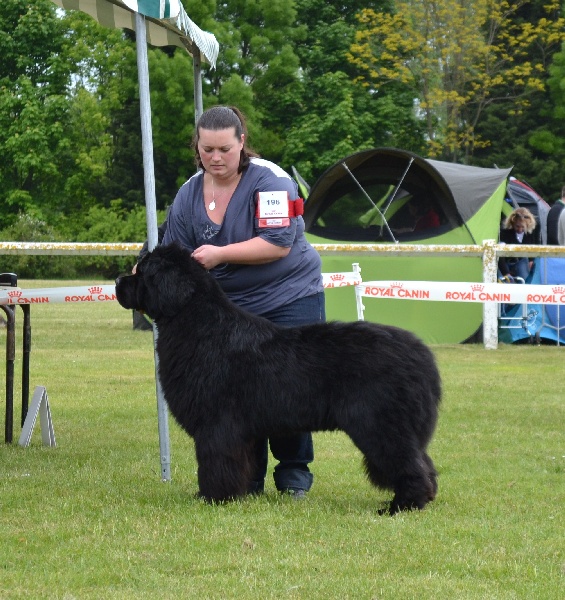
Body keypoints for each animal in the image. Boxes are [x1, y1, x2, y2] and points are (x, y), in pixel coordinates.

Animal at [114, 241, 440, 512]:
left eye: (142, 271)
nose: (117, 281)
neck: (196, 323)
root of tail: (421, 354)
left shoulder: (216, 424)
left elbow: (214, 463)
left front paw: (213, 498)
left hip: (377, 423)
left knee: (408, 463)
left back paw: (403, 505)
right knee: (423, 460)